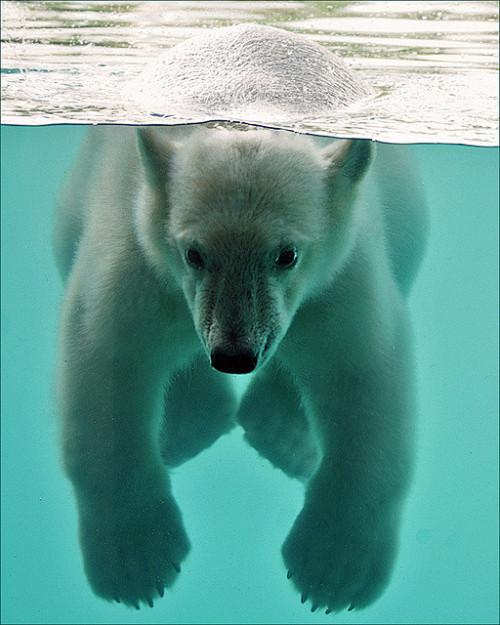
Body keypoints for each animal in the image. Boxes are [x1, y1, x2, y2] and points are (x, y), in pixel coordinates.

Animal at [54, 124, 428, 612]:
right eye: (194, 253)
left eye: (286, 254)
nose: (233, 355)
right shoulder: (137, 263)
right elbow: (109, 360)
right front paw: (137, 561)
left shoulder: (341, 281)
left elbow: (361, 371)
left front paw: (332, 569)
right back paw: (189, 423)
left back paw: (280, 430)